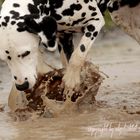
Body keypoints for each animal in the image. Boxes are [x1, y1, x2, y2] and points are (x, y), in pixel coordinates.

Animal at [0, 0, 139, 105]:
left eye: (26, 53)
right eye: (4, 60)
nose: (21, 86)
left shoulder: (95, 21)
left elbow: (78, 54)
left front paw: (71, 79)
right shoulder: (64, 37)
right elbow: (67, 62)